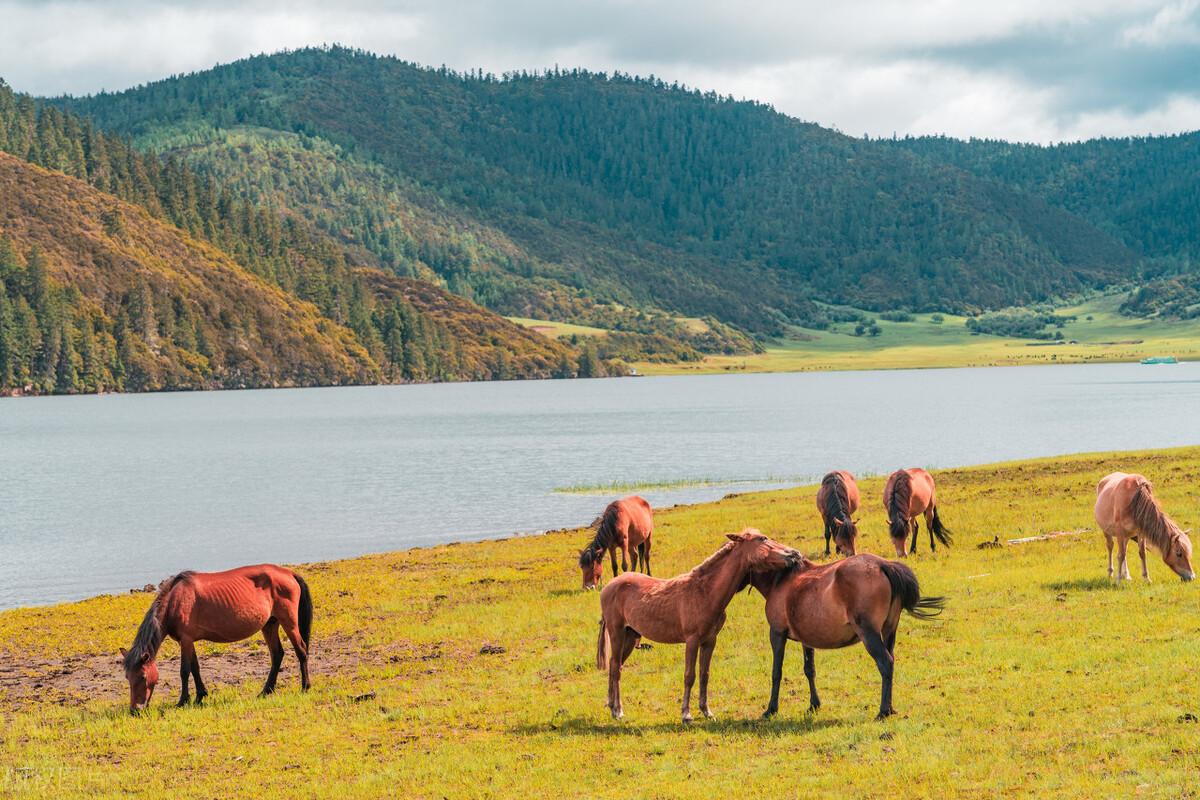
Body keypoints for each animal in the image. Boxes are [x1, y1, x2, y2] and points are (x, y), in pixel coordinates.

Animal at [118, 563, 309, 714]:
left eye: (143, 677)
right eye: (128, 677)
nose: (135, 710)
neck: (175, 600)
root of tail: (289, 573)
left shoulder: (185, 640)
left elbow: (184, 671)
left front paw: (183, 701)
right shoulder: (187, 641)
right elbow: (195, 668)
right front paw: (200, 696)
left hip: (289, 621)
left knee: (301, 650)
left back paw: (305, 687)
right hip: (270, 624)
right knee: (277, 654)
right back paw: (266, 691)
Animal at [595, 532, 801, 724]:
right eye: (762, 539)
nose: (794, 554)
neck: (705, 592)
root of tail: (608, 586)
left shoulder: (709, 641)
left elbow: (704, 674)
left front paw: (706, 711)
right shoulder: (692, 640)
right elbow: (690, 675)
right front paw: (686, 715)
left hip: (630, 636)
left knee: (615, 665)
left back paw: (612, 706)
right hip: (617, 633)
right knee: (616, 668)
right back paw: (618, 711)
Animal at [748, 556, 945, 719]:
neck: (783, 580)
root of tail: (883, 565)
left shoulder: (777, 633)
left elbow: (776, 672)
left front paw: (771, 709)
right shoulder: (806, 639)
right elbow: (809, 670)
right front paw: (814, 705)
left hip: (869, 634)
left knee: (885, 663)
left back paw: (883, 712)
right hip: (889, 632)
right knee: (891, 661)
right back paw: (890, 709)